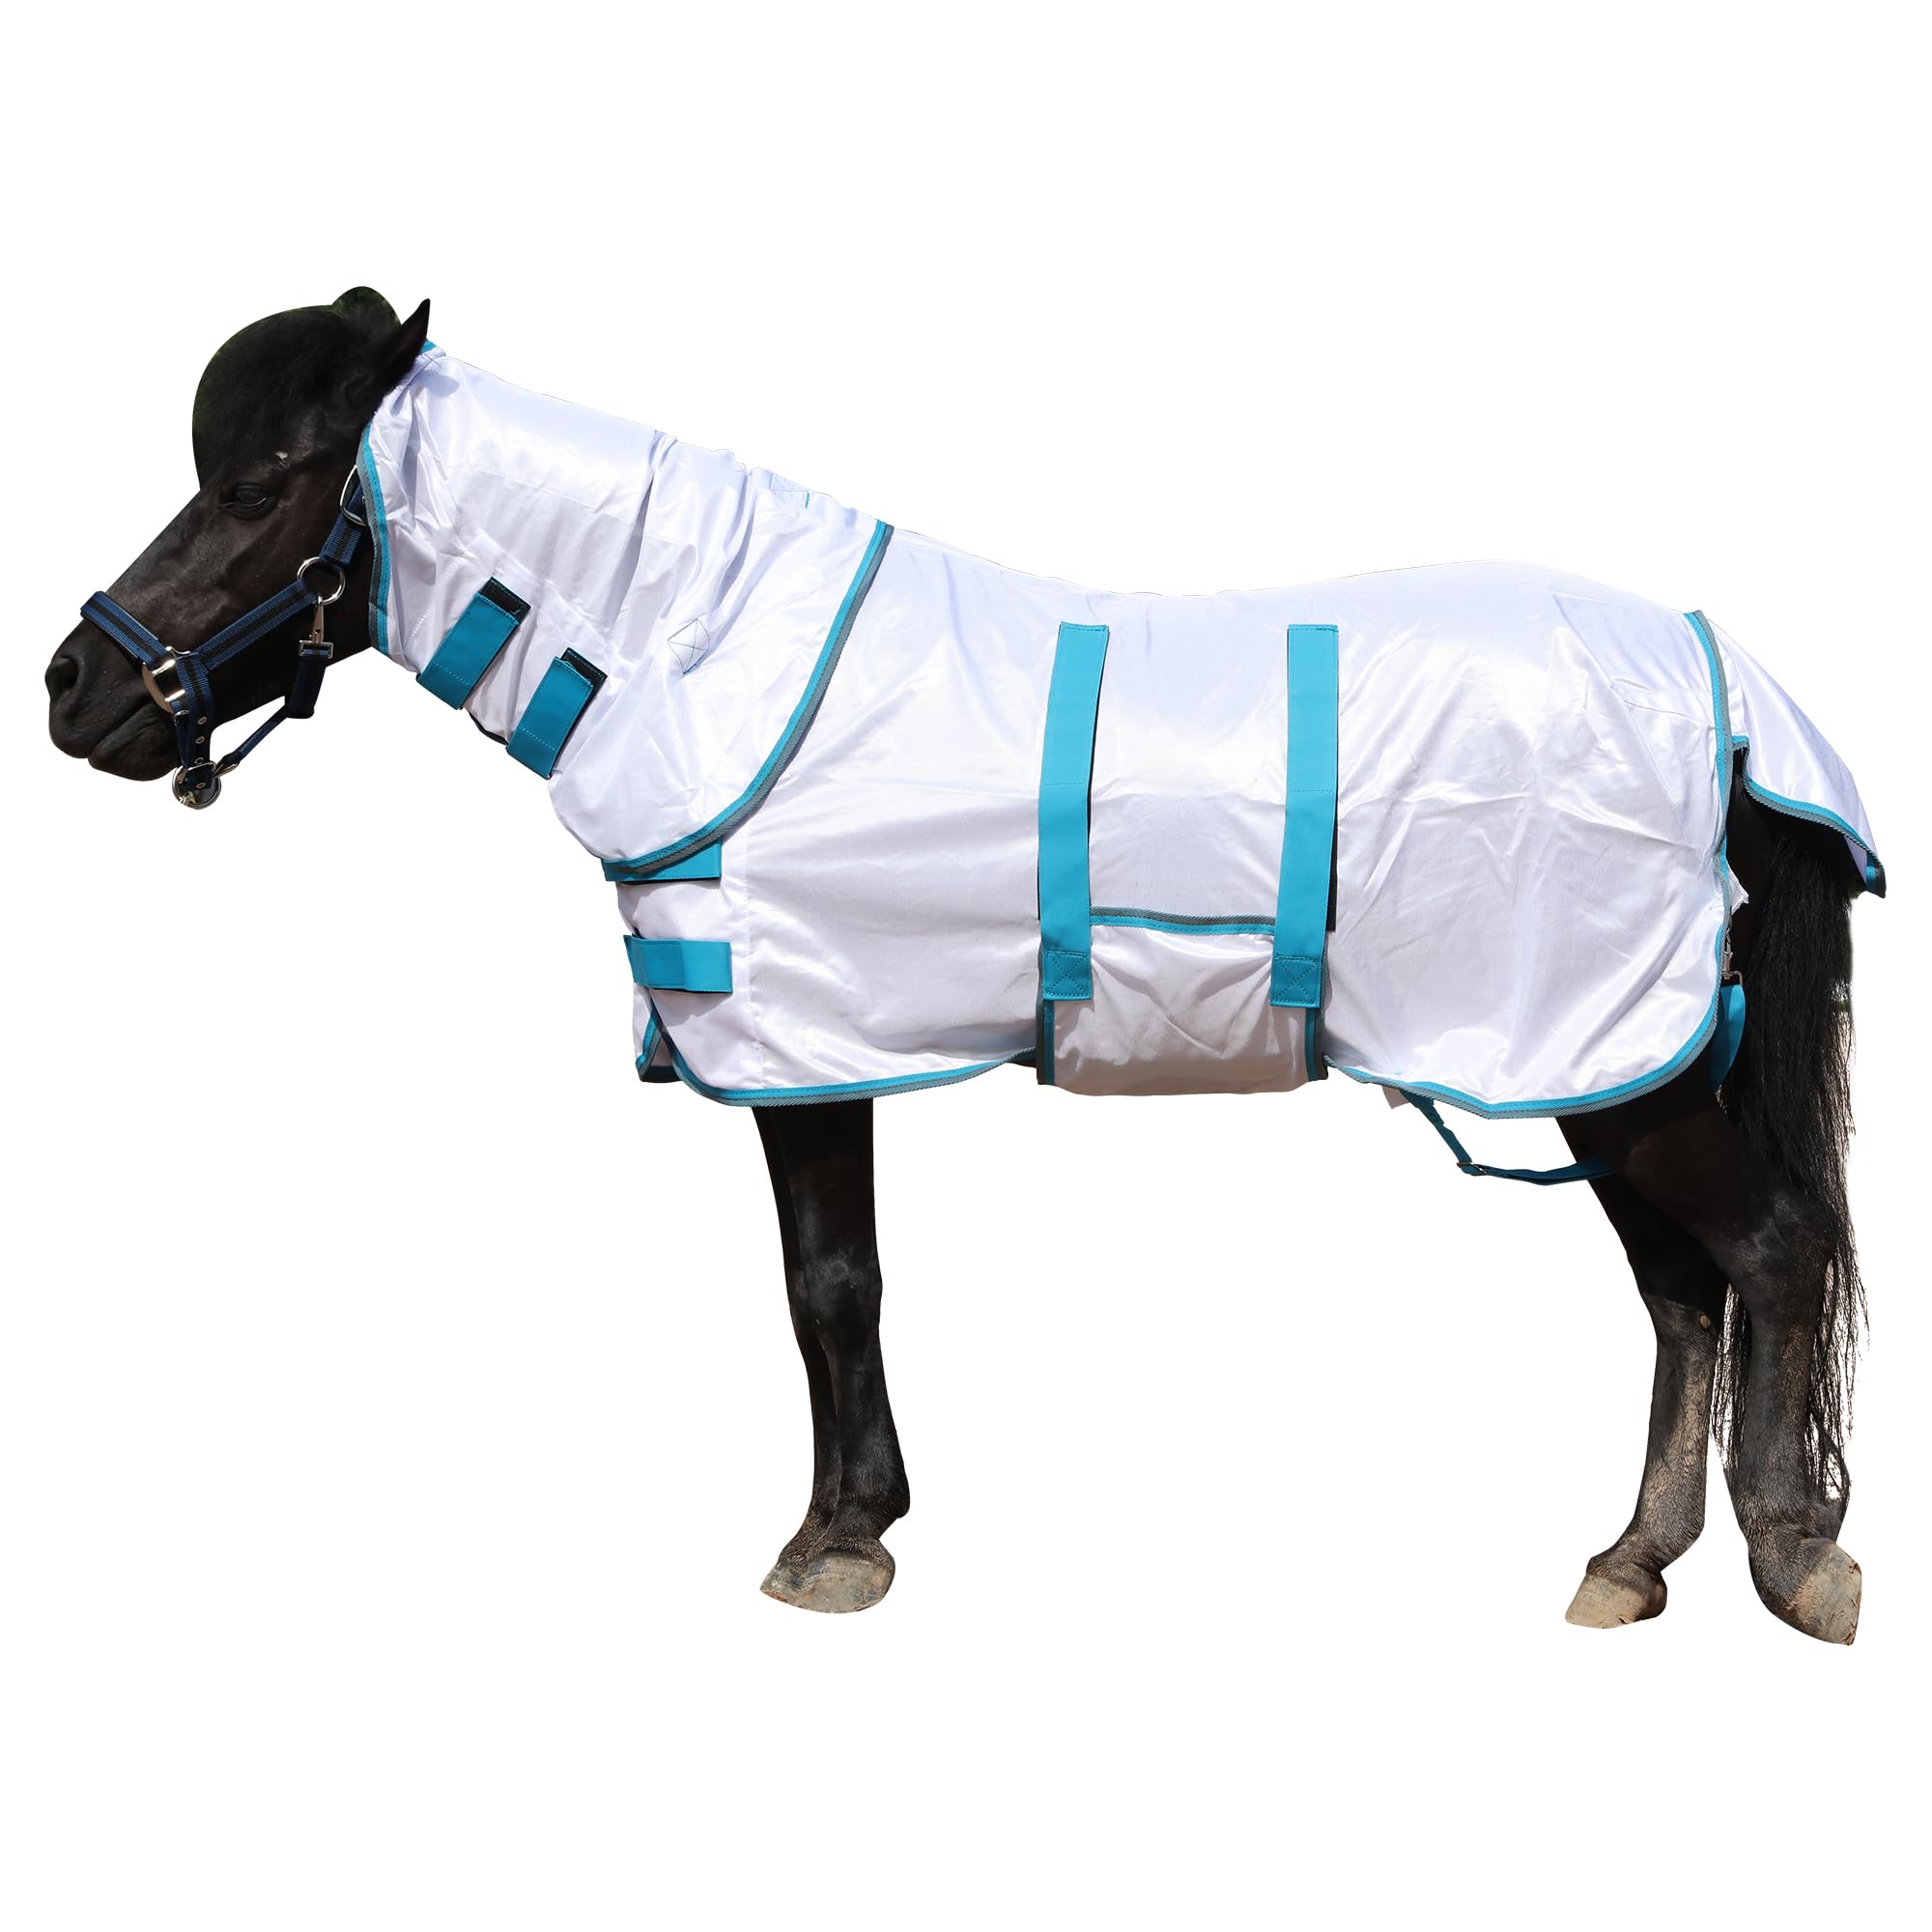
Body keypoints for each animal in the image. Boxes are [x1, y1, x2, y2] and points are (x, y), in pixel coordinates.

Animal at [45, 289, 1881, 1641]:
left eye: (261, 481)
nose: (74, 689)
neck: (701, 647)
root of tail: (1725, 681)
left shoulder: (804, 1047)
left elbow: (828, 1286)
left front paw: (835, 1539)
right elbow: (833, 1287)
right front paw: (860, 1516)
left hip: (1609, 1069)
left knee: (1770, 1252)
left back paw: (1795, 1560)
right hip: (1607, 1067)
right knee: (1682, 1292)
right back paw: (1631, 1561)